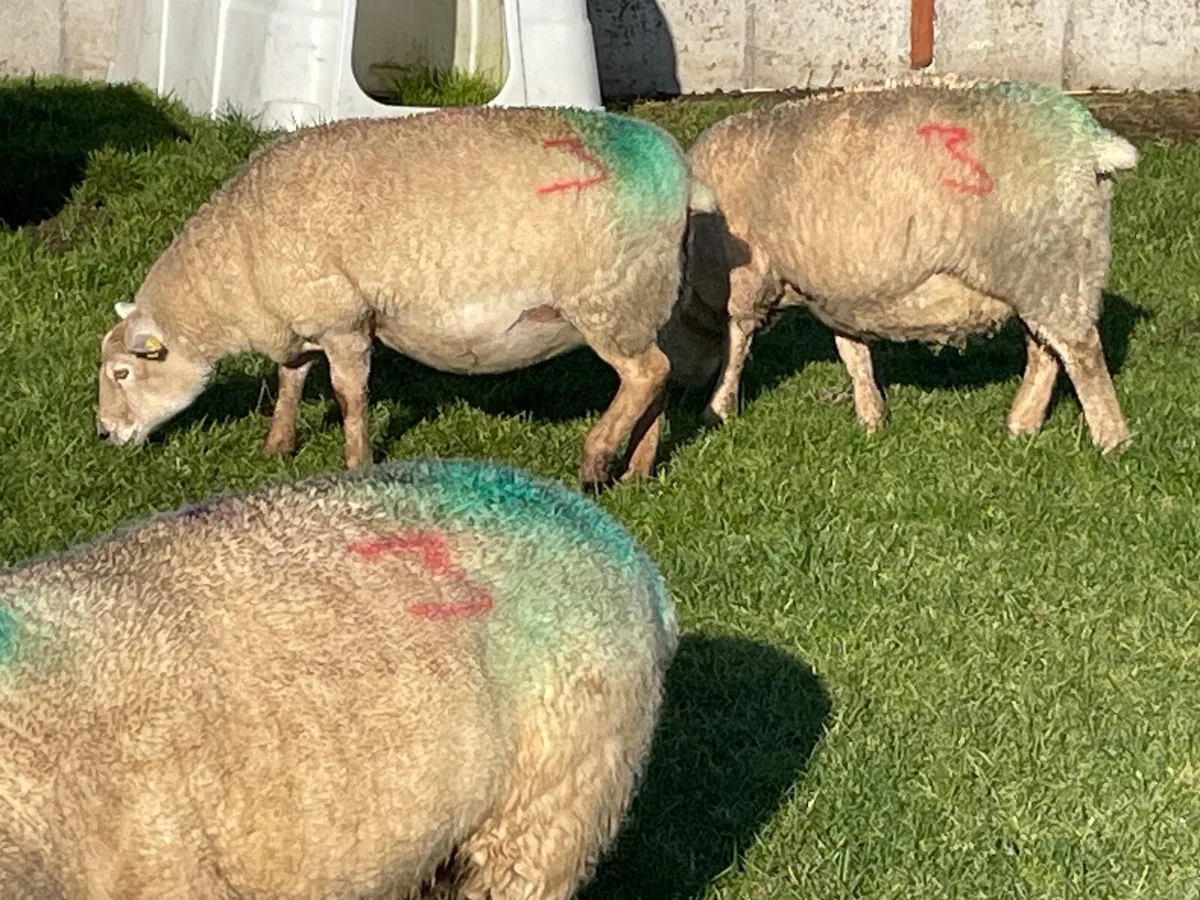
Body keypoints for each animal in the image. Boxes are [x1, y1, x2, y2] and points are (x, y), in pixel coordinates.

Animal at [96, 106, 715, 491]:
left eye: (123, 372)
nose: (103, 434)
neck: (237, 264)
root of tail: (685, 175)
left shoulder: (343, 321)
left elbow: (349, 397)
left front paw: (356, 463)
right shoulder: (302, 317)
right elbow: (290, 380)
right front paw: (277, 445)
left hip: (610, 295)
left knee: (645, 373)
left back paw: (596, 460)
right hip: (648, 297)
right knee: (657, 379)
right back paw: (637, 471)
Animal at [661, 75, 1138, 453]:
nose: (678, 392)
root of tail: (1093, 144)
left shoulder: (747, 281)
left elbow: (737, 344)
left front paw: (716, 410)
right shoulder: (834, 291)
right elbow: (851, 352)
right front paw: (871, 416)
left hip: (1052, 265)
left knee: (1082, 355)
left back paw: (1111, 442)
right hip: (1043, 276)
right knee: (1046, 351)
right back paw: (1021, 425)